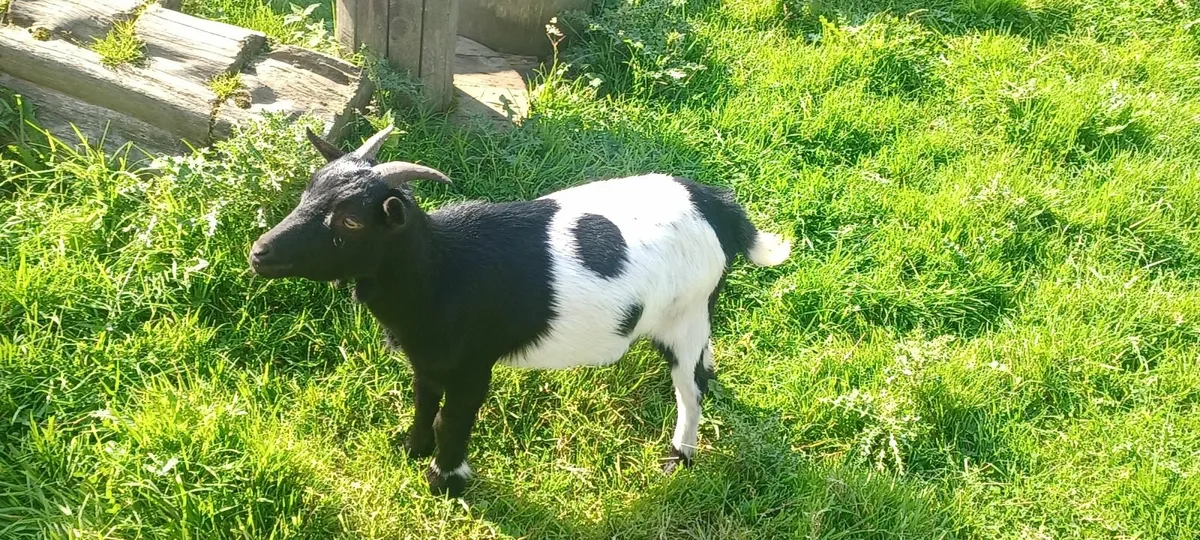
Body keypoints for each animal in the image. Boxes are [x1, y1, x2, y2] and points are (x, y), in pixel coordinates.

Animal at [248, 125, 791, 497]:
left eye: (351, 221)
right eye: (306, 193)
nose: (259, 252)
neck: (441, 270)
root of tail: (716, 205)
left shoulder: (471, 365)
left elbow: (452, 418)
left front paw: (444, 481)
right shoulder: (429, 358)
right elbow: (424, 403)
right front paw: (411, 449)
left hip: (686, 314)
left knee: (690, 389)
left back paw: (679, 457)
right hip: (696, 312)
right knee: (702, 364)